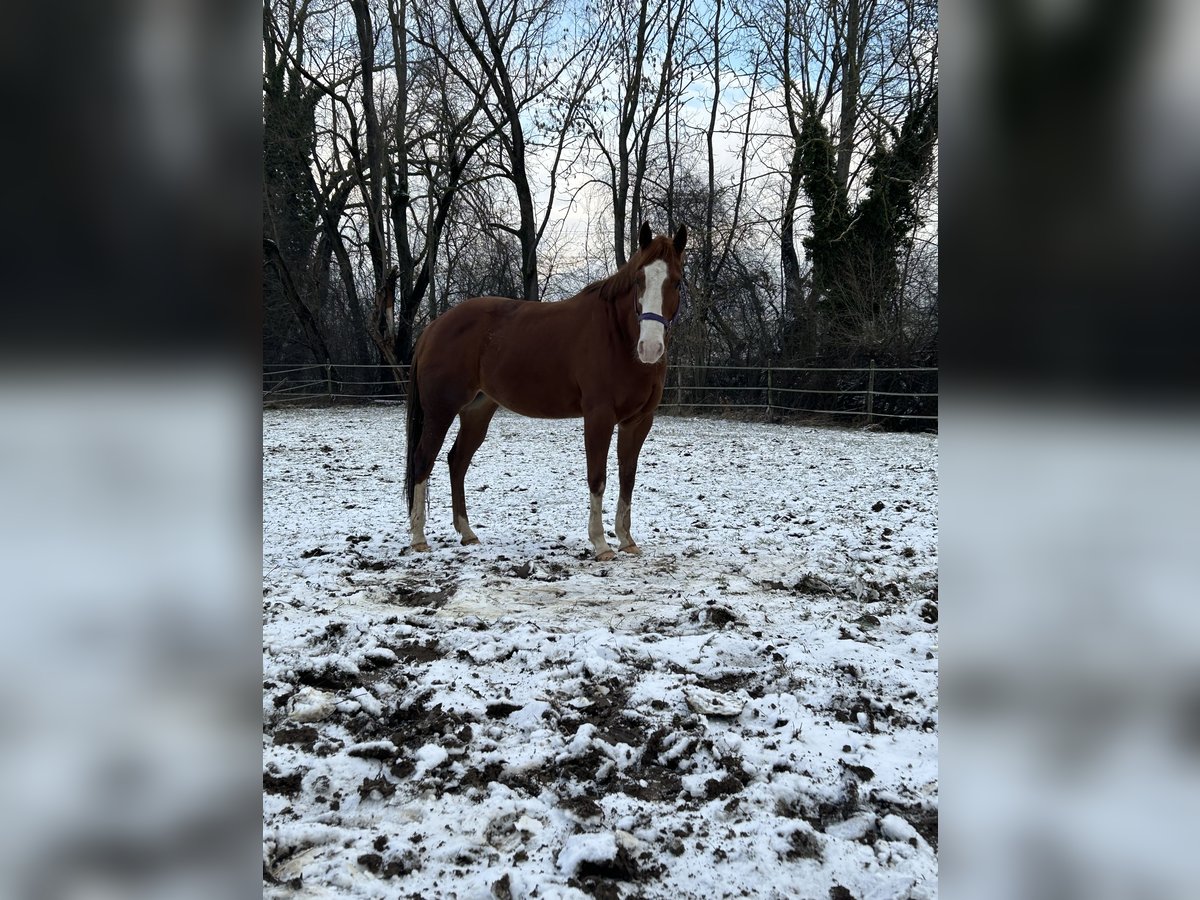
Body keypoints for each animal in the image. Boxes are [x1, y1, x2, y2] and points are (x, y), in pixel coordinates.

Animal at [403, 222, 686, 561]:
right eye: (639, 280)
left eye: (677, 282)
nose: (651, 348)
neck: (617, 336)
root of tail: (433, 328)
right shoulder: (599, 417)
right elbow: (598, 477)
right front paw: (601, 544)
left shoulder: (639, 421)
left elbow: (627, 478)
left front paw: (626, 540)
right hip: (440, 411)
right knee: (423, 460)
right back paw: (419, 538)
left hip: (476, 412)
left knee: (457, 461)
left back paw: (467, 533)